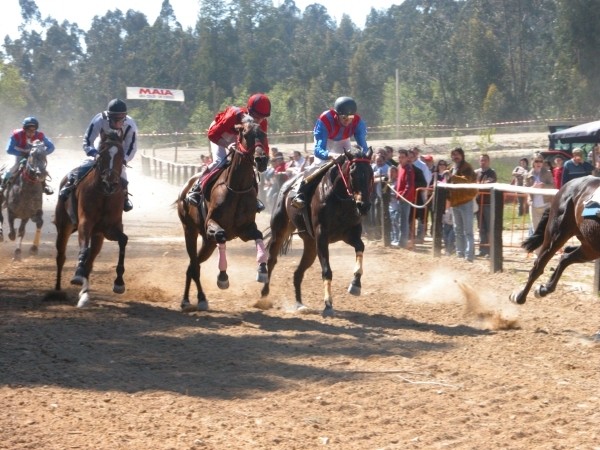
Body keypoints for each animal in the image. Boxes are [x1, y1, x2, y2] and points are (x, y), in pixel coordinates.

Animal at [53, 128, 127, 308]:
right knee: (61, 256)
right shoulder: (85, 223)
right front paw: (77, 275)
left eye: (121, 155)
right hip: (64, 226)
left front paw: (119, 283)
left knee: (91, 261)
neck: (104, 195)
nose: (110, 183)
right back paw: (58, 291)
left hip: (98, 237)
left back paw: (84, 295)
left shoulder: (109, 229)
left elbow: (123, 240)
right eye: (101, 154)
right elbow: (83, 249)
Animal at [177, 114, 268, 312]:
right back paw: (194, 299)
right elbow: (221, 235)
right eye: (246, 135)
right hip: (190, 230)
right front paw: (223, 277)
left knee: (192, 265)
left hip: (208, 243)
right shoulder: (212, 225)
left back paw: (192, 298)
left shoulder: (245, 230)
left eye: (264, 134)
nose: (262, 160)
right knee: (194, 264)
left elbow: (258, 236)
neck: (237, 188)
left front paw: (262, 270)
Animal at [260, 147, 372, 316]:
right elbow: (327, 270)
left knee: (298, 273)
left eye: (371, 173)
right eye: (353, 173)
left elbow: (361, 247)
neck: (339, 199)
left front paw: (355, 284)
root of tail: (285, 185)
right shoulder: (321, 236)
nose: (364, 205)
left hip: (310, 245)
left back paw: (299, 304)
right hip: (280, 231)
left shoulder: (349, 234)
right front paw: (328, 304)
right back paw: (263, 296)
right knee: (271, 260)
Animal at [508, 174, 600, 304]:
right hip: (556, 235)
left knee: (566, 258)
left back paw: (544, 289)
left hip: (591, 246)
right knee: (538, 267)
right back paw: (520, 297)